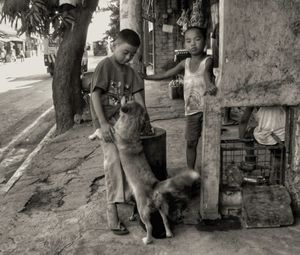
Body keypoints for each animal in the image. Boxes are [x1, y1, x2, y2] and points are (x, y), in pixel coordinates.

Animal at [113, 100, 200, 244]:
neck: (132, 122)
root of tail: (155, 186)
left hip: (143, 210)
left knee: (149, 226)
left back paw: (147, 240)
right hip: (162, 206)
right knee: (165, 220)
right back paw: (169, 233)